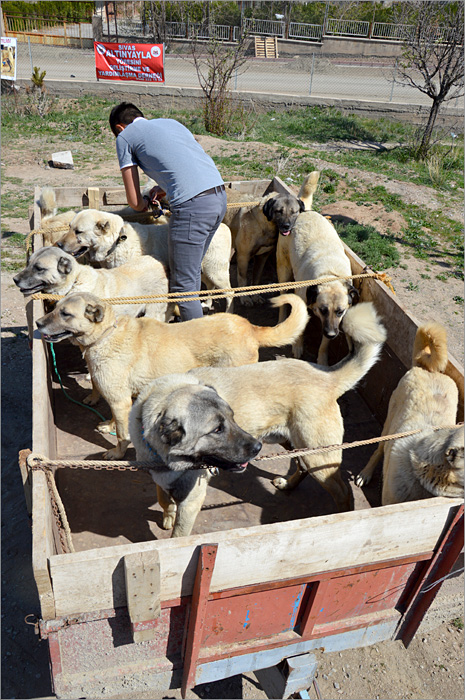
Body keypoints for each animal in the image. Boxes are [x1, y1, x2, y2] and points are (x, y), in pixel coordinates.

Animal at [36, 292, 308, 462]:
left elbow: (123, 436)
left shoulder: (118, 399)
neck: (106, 334)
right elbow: (116, 420)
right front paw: (109, 425)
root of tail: (250, 328)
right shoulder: (120, 399)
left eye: (65, 314)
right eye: (55, 308)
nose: (37, 322)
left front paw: (116, 453)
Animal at [56, 209, 234, 314]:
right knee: (209, 286)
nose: (58, 245)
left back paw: (228, 313)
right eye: (69, 227)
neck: (117, 241)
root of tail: (225, 227)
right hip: (203, 270)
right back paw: (207, 304)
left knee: (230, 292)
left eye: (79, 231)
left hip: (215, 271)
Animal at [129, 374, 262, 540]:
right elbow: (163, 499)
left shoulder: (190, 504)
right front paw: (169, 514)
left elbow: (177, 536)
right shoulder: (159, 478)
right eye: (217, 429)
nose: (258, 447)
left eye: (233, 418)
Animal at [278, 172, 358, 364]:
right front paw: (298, 346)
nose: (331, 334)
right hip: (283, 270)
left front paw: (322, 360)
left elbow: (324, 345)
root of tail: (304, 210)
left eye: (340, 312)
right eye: (323, 310)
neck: (330, 274)